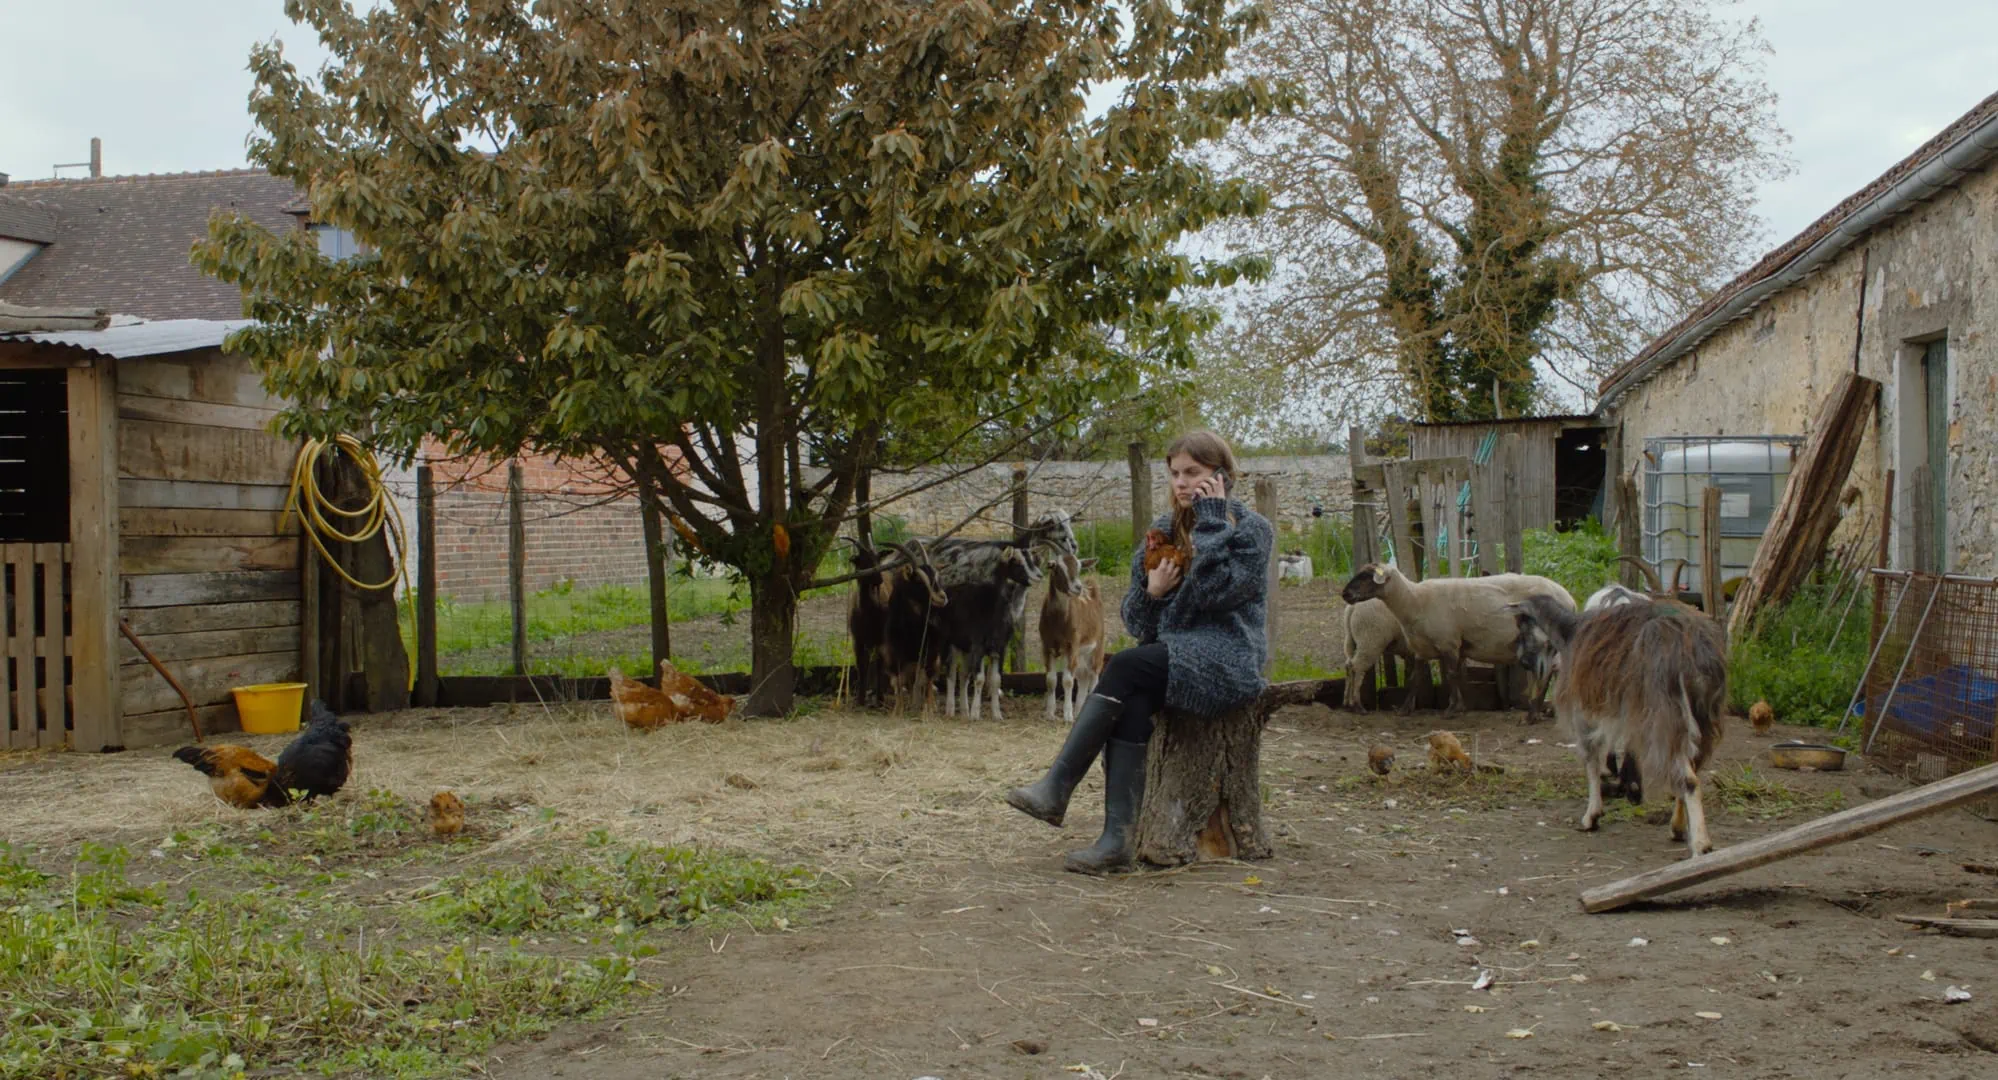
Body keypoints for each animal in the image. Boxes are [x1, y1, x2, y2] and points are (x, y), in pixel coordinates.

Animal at [1046, 550, 1110, 718]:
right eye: (1057, 568)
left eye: (1079, 567)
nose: (1077, 587)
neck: (1058, 622)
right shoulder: (1047, 646)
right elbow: (1051, 680)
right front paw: (1050, 713)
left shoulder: (1072, 645)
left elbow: (1068, 681)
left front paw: (1067, 715)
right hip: (1081, 654)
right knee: (1083, 677)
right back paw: (1079, 709)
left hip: (1097, 647)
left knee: (1093, 676)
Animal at [1342, 558, 1574, 718]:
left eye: (1366, 576)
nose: (1344, 594)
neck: (1414, 601)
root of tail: (1570, 599)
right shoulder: (1422, 647)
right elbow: (1416, 679)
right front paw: (1405, 709)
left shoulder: (1449, 643)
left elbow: (1452, 675)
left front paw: (1453, 708)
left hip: (1370, 639)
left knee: (1356, 666)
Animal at [1510, 594, 1734, 854]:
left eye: (1522, 625)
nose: (1523, 662)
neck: (1569, 633)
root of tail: (1693, 649)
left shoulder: (1582, 710)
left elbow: (1590, 758)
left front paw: (1592, 816)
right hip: (1702, 711)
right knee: (1692, 766)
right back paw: (1677, 828)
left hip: (1664, 714)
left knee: (1687, 777)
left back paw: (1701, 845)